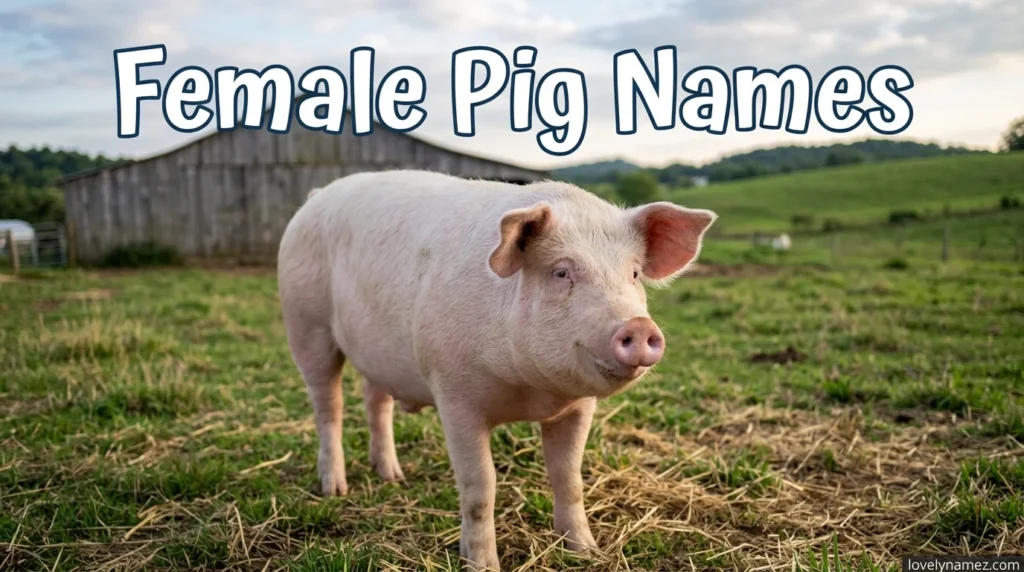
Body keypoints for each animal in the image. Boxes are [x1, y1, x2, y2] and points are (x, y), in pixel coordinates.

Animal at [276, 169, 716, 571]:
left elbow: (569, 476)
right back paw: (335, 489)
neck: (530, 391)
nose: (638, 326)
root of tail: (315, 197)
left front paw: (586, 552)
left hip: (378, 354)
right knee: (328, 406)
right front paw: (483, 565)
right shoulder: (455, 395)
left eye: (635, 273)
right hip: (305, 324)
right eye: (561, 272)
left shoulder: (579, 405)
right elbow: (480, 486)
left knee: (375, 401)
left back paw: (392, 477)